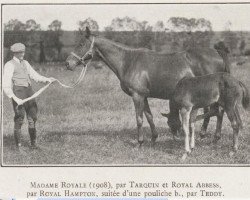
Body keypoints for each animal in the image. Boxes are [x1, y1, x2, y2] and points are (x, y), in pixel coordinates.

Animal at [66, 27, 229, 145]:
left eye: (81, 44)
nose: (68, 63)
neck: (128, 61)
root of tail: (217, 53)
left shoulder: (137, 95)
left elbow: (139, 119)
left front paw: (139, 142)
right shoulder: (143, 96)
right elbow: (149, 116)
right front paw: (153, 138)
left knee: (218, 112)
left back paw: (212, 137)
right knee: (216, 112)